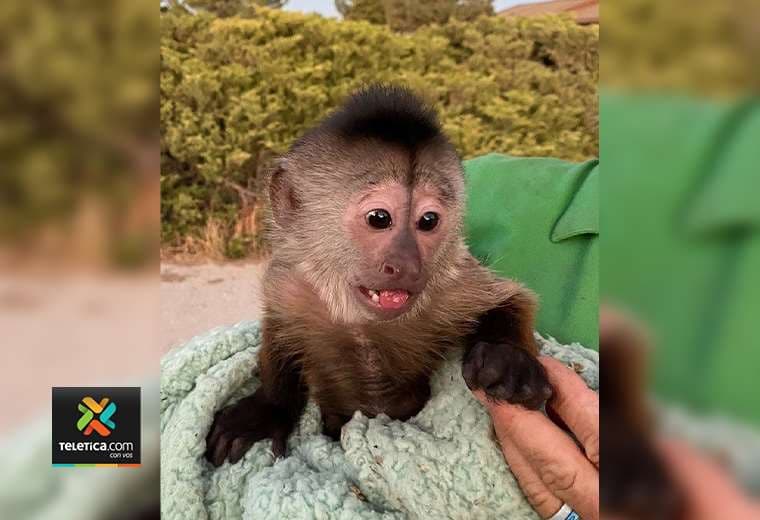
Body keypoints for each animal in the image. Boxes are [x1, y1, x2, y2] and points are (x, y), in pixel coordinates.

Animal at [205, 85, 553, 467]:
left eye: (428, 221)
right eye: (379, 218)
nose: (407, 265)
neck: (362, 322)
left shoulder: (451, 283)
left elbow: (510, 298)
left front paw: (507, 358)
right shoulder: (291, 284)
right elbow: (280, 330)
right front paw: (267, 410)